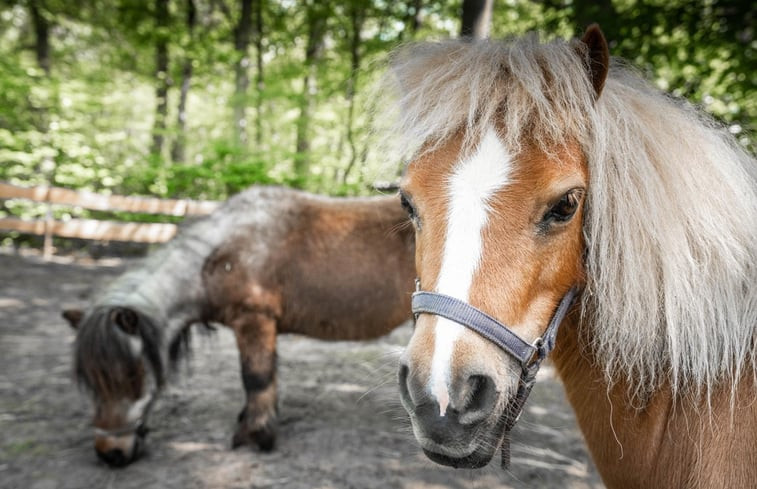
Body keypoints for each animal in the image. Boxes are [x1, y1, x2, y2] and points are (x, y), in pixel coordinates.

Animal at [63, 186, 414, 466]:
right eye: (91, 381)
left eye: (131, 376)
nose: (110, 453)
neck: (223, 255)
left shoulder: (254, 321)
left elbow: (256, 378)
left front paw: (255, 436)